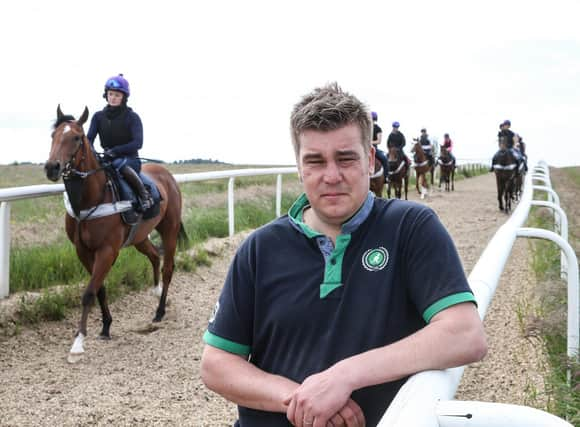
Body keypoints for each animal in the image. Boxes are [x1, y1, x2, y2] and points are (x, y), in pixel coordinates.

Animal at [44, 105, 188, 362]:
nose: (52, 167)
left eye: (76, 138)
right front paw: (105, 326)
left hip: (169, 230)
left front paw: (78, 343)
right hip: (139, 237)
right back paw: (156, 291)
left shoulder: (107, 250)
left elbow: (89, 292)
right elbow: (99, 288)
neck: (89, 201)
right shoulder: (83, 251)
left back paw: (159, 310)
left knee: (168, 267)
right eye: (54, 135)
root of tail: (167, 174)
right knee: (154, 255)